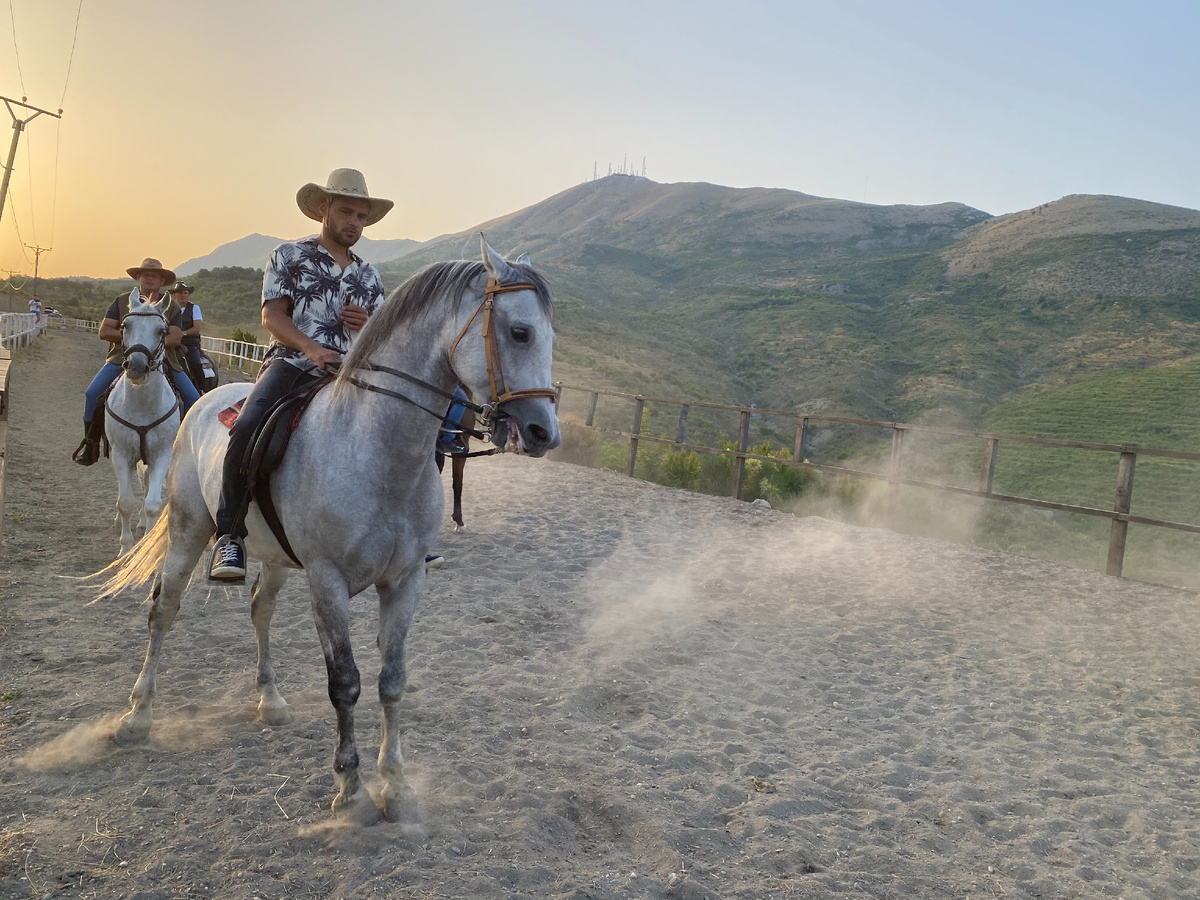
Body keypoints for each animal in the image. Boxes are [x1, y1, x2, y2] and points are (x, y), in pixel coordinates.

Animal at [105, 300, 180, 556]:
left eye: (162, 331)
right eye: (125, 325)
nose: (137, 367)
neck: (142, 406)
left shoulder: (161, 455)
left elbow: (152, 504)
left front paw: (144, 543)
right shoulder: (120, 454)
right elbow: (125, 502)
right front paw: (125, 549)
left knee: (146, 486)